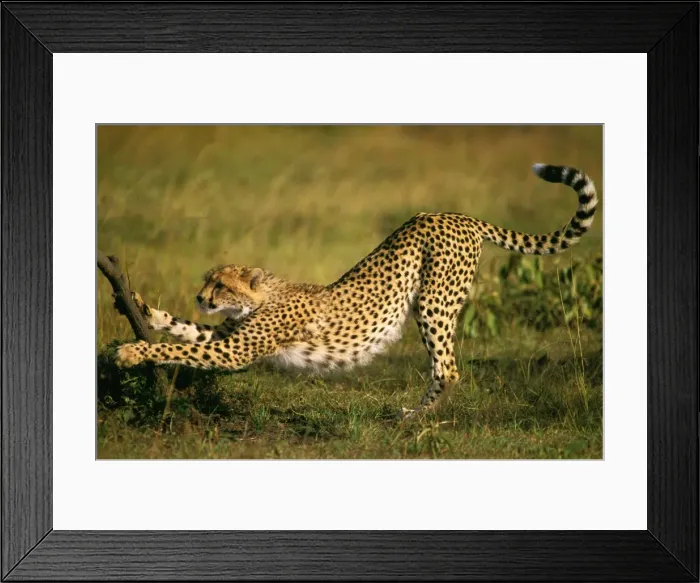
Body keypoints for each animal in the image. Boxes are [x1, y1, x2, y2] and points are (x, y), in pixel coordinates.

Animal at [114, 163, 599, 418]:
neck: (262, 295)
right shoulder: (229, 336)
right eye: (206, 282)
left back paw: (414, 419)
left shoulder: (235, 350)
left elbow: (178, 348)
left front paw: (131, 351)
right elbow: (184, 329)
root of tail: (454, 215)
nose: (202, 297)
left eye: (220, 285)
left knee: (448, 368)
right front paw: (141, 306)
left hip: (432, 301)